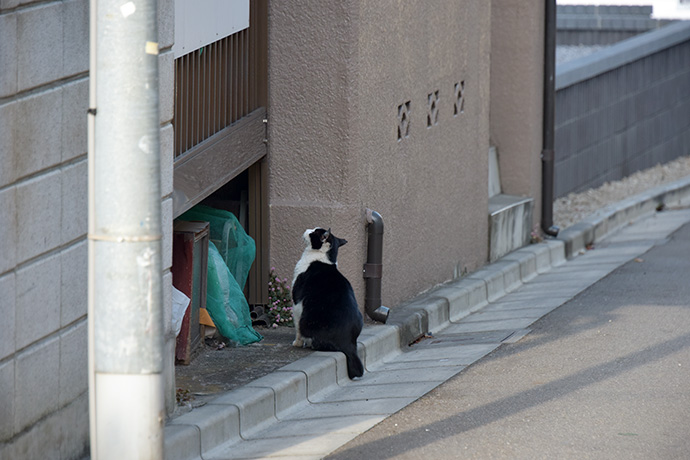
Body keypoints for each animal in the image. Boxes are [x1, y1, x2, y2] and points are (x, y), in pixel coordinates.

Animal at [290, 228, 366, 380]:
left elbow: (297, 328)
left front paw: (297, 343)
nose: (306, 230)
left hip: (307, 320)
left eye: (313, 232)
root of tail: (349, 344)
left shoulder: (296, 302)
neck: (321, 258)